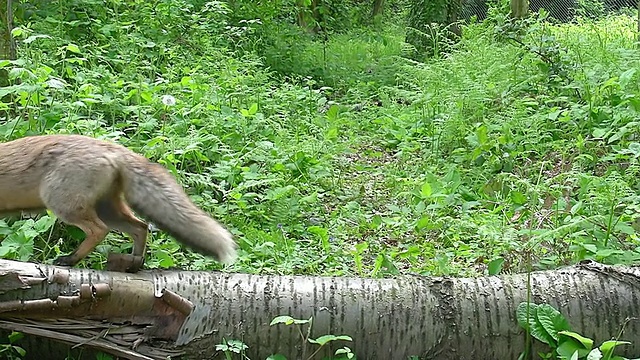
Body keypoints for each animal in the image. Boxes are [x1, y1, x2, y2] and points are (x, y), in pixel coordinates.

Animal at [0, 134, 238, 270]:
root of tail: (115, 148)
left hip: (64, 205)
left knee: (99, 230)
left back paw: (71, 260)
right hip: (108, 210)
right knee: (141, 227)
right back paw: (135, 265)